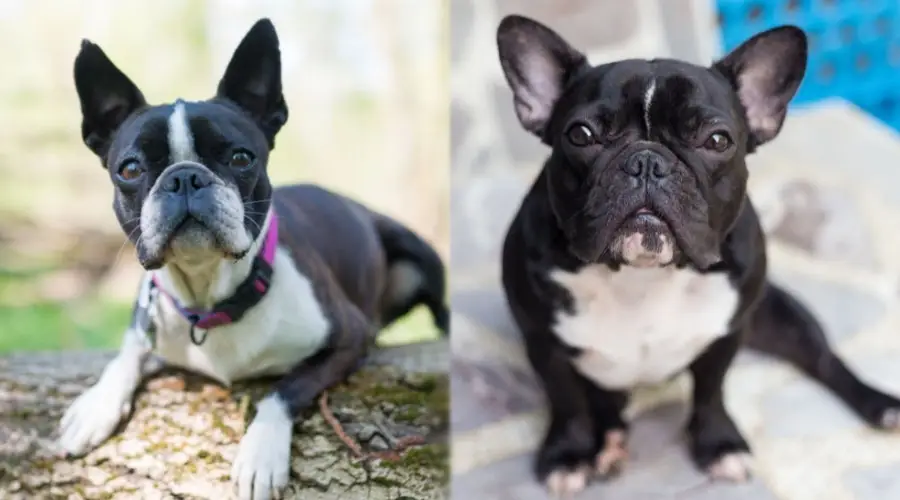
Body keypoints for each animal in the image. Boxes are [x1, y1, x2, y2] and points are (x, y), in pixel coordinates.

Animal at [54, 17, 448, 498]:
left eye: (241, 158)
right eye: (129, 169)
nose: (185, 177)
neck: (212, 296)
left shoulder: (351, 337)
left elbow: (285, 389)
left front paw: (261, 454)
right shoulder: (148, 315)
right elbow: (128, 351)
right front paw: (96, 405)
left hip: (418, 252)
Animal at [496, 14, 900, 496]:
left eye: (717, 140)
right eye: (581, 135)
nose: (647, 161)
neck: (642, 275)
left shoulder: (726, 333)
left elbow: (711, 392)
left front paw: (719, 444)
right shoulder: (544, 343)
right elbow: (567, 401)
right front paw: (568, 454)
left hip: (784, 316)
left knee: (825, 360)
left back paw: (880, 404)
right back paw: (609, 437)